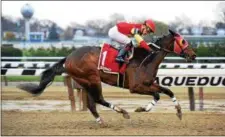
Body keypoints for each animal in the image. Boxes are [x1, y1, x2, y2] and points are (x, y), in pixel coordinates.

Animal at [18, 28, 196, 127]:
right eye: (183, 41)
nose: (193, 55)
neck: (147, 57)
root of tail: (68, 57)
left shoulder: (148, 83)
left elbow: (165, 92)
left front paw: (177, 112)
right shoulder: (136, 87)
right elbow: (161, 93)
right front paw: (142, 109)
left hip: (86, 82)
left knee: (92, 104)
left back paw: (101, 121)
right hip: (92, 79)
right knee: (98, 100)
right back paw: (122, 112)